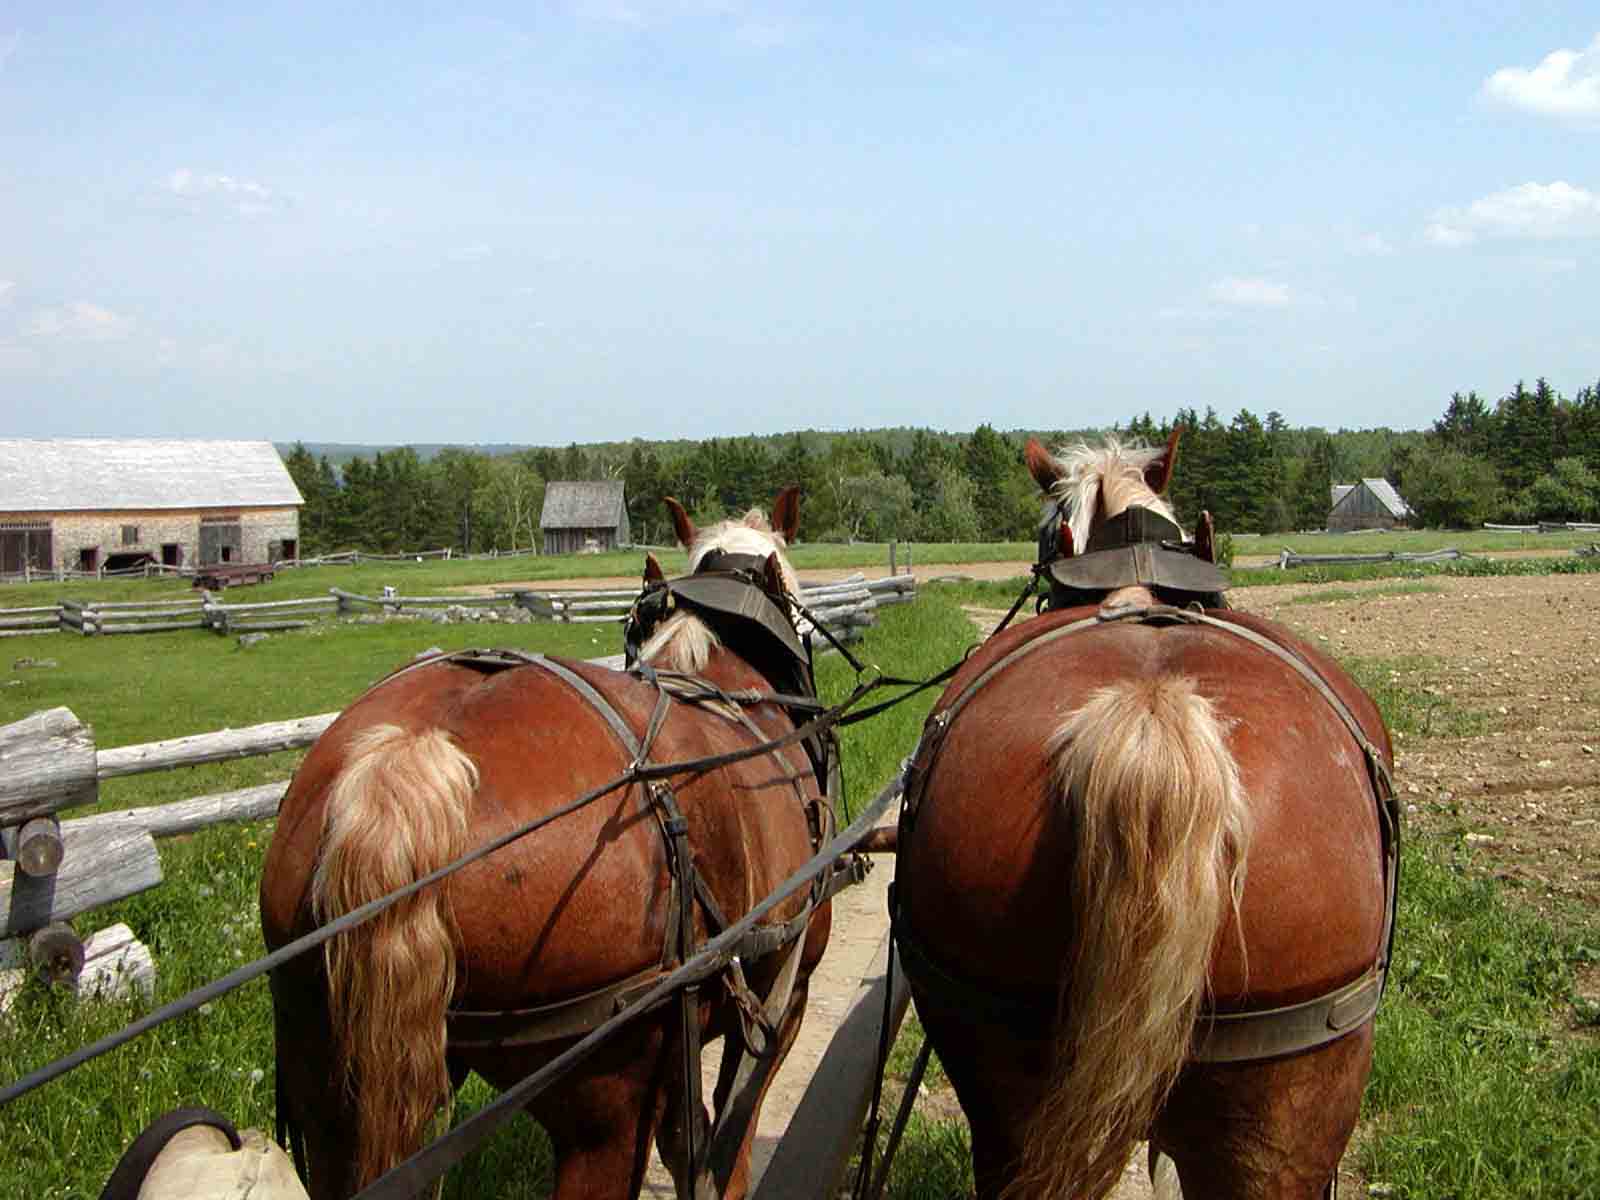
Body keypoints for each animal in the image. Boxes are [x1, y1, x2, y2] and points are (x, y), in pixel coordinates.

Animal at [260, 489, 836, 1200]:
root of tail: (408, 758)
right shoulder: (785, 995)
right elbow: (725, 1156)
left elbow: (689, 1145)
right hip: (606, 1104)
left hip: (334, 1085)